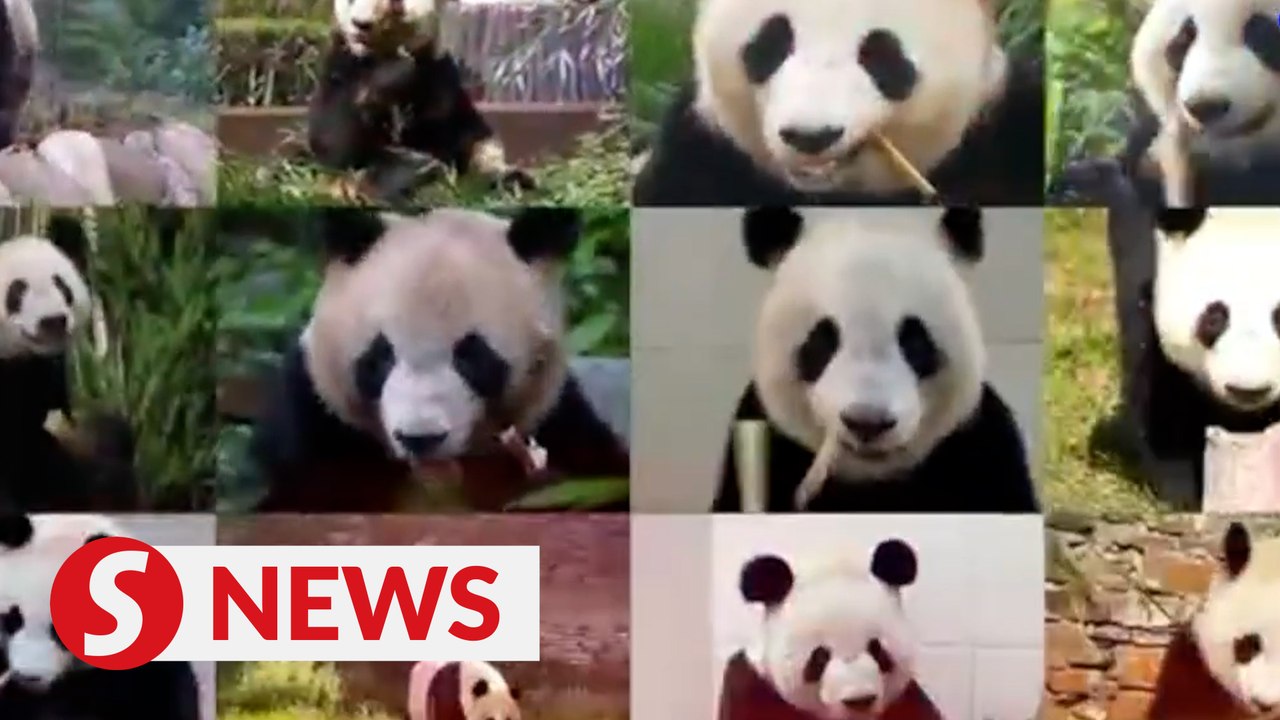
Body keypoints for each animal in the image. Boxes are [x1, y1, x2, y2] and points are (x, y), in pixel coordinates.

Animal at [309, 0, 532, 202]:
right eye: (350, 0)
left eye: (395, 4)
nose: (361, 24)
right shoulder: (341, 67)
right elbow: (334, 139)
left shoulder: (437, 75)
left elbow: (449, 131)